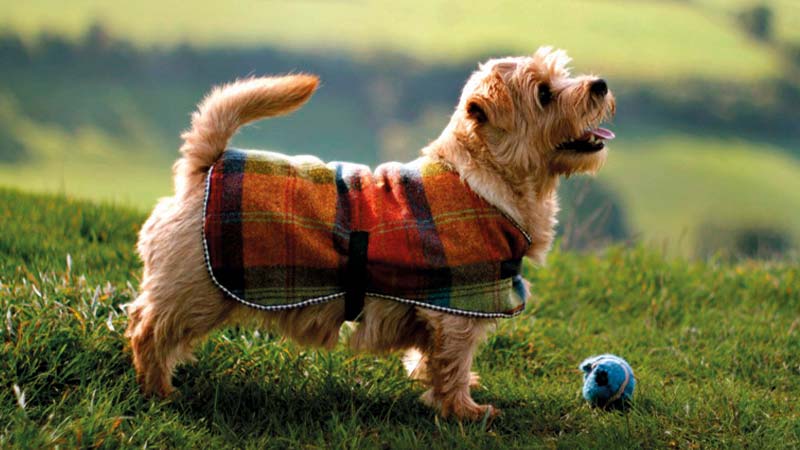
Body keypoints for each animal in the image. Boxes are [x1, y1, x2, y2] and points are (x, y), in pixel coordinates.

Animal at [125, 47, 616, 420]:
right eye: (544, 93)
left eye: (562, 75)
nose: (601, 84)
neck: (481, 180)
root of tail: (207, 166)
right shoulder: (459, 312)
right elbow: (454, 365)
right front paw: (465, 412)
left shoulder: (437, 312)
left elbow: (432, 359)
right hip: (195, 292)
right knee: (147, 329)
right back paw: (158, 390)